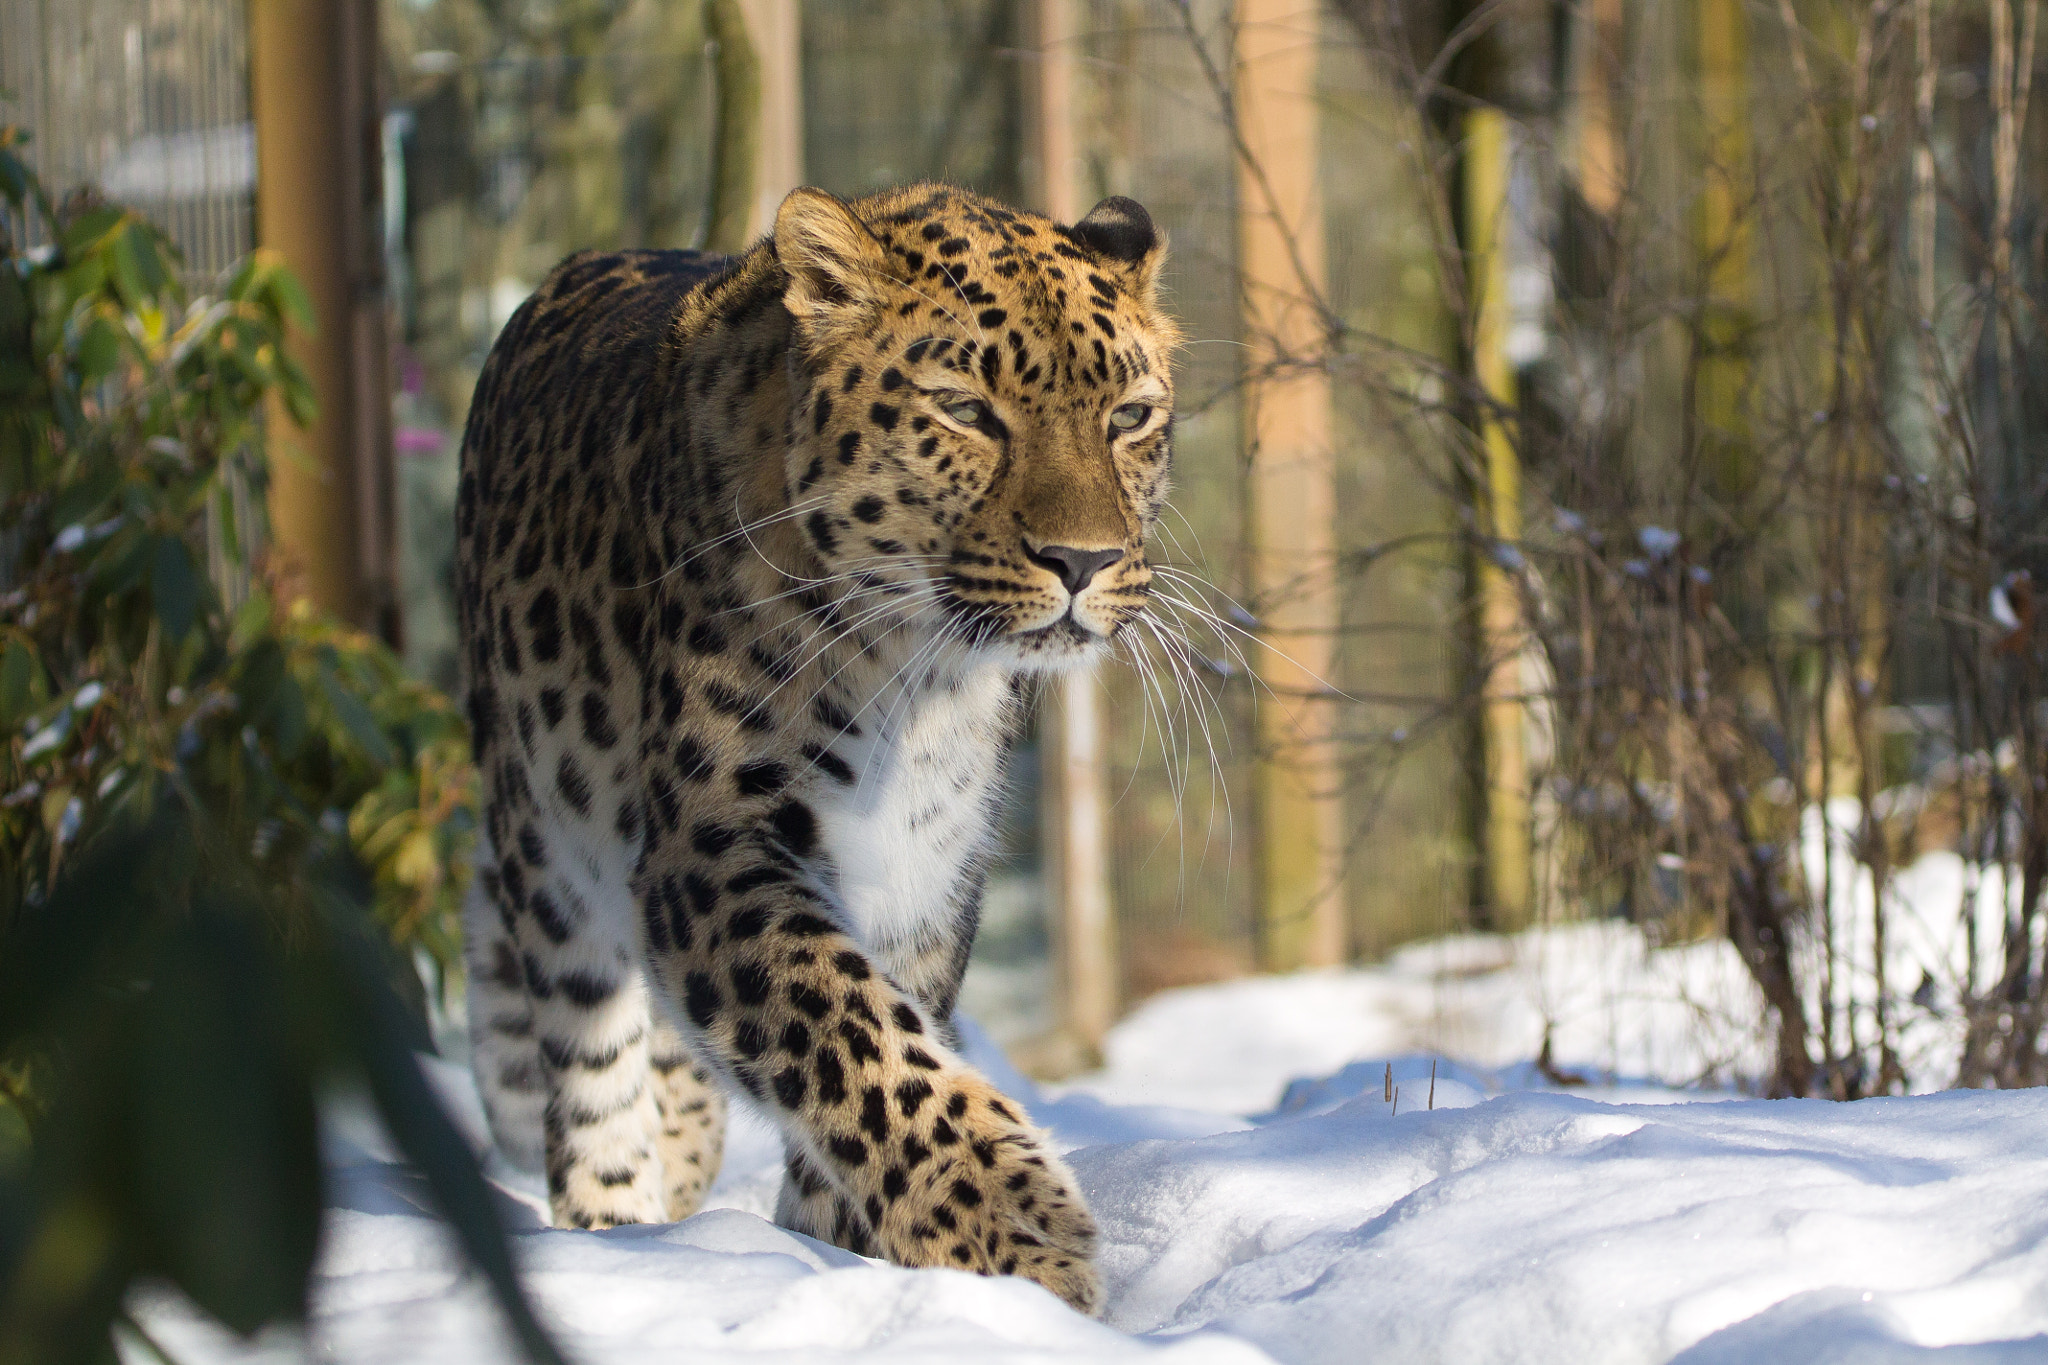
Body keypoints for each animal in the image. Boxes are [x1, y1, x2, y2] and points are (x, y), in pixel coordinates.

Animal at [454, 181, 1179, 1316]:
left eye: (1129, 417)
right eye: (965, 410)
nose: (1083, 561)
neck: (920, 674)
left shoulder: (926, 872)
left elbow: (876, 1046)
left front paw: (845, 1253)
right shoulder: (713, 843)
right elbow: (850, 1036)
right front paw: (1019, 1238)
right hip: (545, 835)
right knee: (589, 1061)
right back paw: (617, 1232)